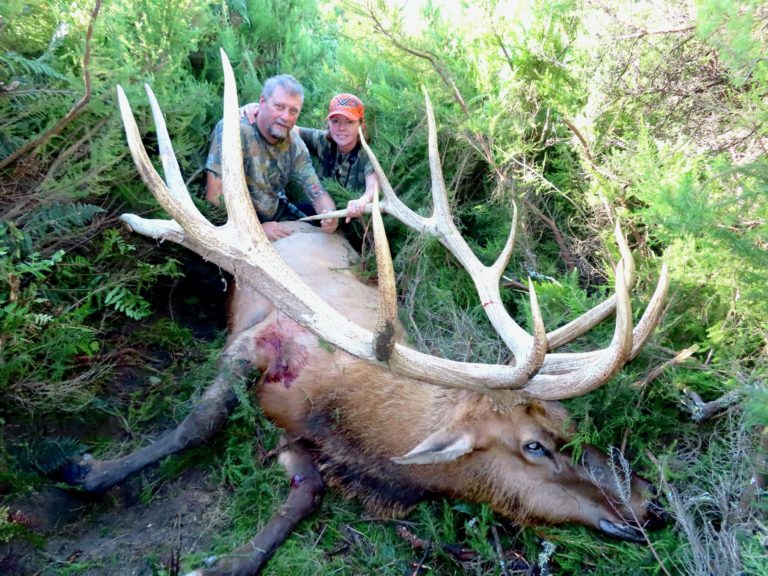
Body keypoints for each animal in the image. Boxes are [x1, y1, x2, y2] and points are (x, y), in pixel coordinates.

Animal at [63, 51, 670, 575]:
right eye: (535, 446)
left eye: (568, 424)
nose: (649, 503)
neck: (350, 422)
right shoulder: (259, 339)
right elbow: (198, 423)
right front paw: (86, 470)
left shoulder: (300, 431)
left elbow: (307, 493)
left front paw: (227, 563)